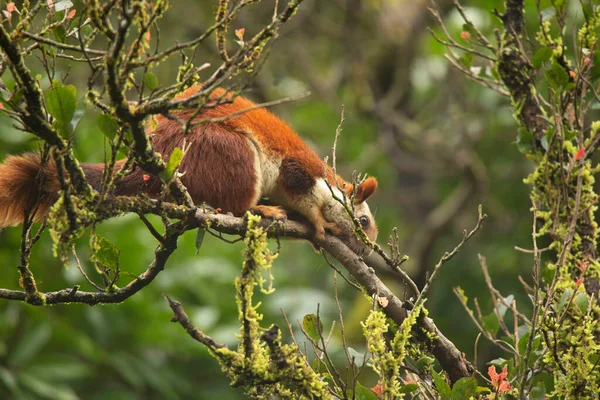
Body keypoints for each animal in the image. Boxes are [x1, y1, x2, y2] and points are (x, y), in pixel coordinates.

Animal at [0, 85, 378, 248]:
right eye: (364, 221)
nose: (370, 246)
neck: (331, 186)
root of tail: (158, 154)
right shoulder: (299, 171)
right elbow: (303, 195)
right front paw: (320, 224)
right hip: (227, 153)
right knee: (234, 205)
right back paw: (260, 209)